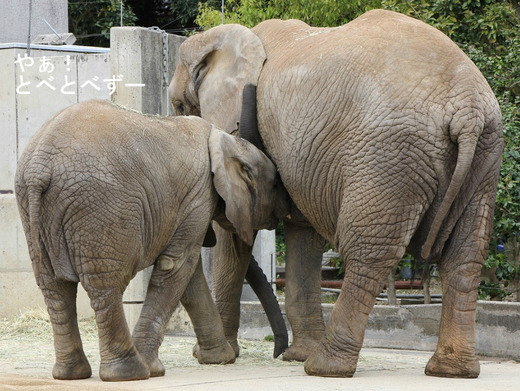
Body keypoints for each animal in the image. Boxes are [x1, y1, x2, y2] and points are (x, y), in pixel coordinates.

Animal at [16, 99, 282, 382]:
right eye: (275, 184)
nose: (278, 353)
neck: (224, 138)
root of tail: (39, 169)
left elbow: (190, 275)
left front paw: (219, 359)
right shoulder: (198, 195)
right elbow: (176, 267)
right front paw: (157, 369)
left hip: (34, 210)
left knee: (54, 287)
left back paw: (71, 374)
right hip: (103, 207)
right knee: (105, 285)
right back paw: (130, 372)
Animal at [171, 9, 504, 378]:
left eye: (179, 105)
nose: (277, 349)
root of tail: (468, 107)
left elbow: (236, 239)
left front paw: (216, 356)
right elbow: (302, 232)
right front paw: (293, 354)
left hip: (387, 156)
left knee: (368, 251)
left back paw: (324, 366)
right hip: (484, 156)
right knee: (465, 254)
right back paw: (451, 370)